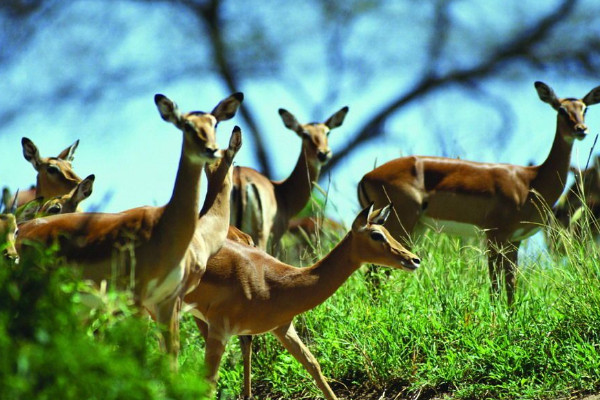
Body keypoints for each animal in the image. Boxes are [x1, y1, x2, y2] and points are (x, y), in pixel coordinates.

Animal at [184, 205, 422, 398]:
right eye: (376, 235)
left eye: (388, 232)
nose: (414, 259)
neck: (271, 281)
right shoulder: (219, 329)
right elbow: (208, 383)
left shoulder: (283, 329)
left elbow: (313, 366)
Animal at [231, 104, 352, 252]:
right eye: (305, 134)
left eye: (327, 132)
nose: (323, 153)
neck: (281, 192)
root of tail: (240, 181)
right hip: (261, 237)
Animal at [356, 81, 600, 304]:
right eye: (561, 109)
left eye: (584, 108)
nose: (581, 129)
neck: (531, 180)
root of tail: (366, 176)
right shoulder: (494, 236)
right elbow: (495, 286)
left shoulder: (513, 241)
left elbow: (511, 286)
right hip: (399, 228)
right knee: (373, 273)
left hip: (414, 229)